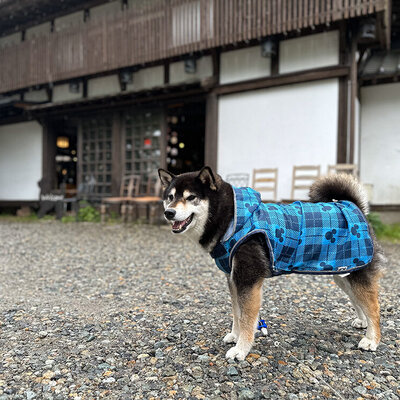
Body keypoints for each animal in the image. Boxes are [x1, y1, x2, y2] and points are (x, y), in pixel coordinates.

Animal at [158, 167, 382, 360]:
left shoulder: (248, 279)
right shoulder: (233, 279)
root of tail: (355, 207)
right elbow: (237, 313)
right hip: (343, 273)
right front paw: (235, 336)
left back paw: (372, 340)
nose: (169, 213)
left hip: (356, 272)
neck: (231, 218)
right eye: (170, 197)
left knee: (373, 307)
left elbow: (247, 319)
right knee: (358, 300)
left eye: (191, 197)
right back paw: (363, 322)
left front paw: (241, 349)